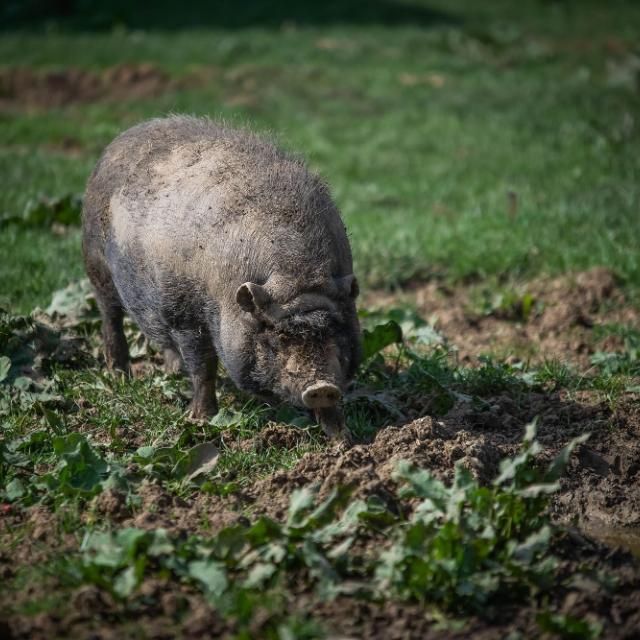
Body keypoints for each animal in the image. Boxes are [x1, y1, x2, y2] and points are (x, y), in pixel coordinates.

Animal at [82, 115, 360, 438]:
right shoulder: (185, 314)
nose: (321, 386)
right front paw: (201, 420)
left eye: (336, 328)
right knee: (110, 316)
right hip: (95, 264)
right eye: (274, 339)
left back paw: (171, 372)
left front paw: (342, 438)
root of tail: (117, 142)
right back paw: (120, 376)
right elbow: (203, 367)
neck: (296, 279)